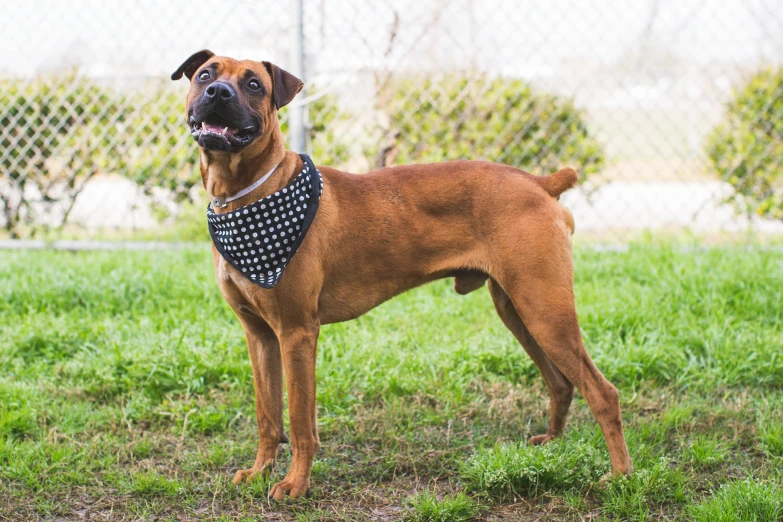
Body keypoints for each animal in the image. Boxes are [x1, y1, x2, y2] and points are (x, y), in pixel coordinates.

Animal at [173, 50, 636, 498]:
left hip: (545, 312)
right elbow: (267, 416)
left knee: (603, 393)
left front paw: (294, 485)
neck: (244, 196)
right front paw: (259, 472)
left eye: (253, 84)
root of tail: (539, 183)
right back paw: (552, 444)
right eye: (205, 74)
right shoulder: (260, 337)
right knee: (561, 383)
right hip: (519, 311)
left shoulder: (297, 333)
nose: (217, 92)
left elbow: (302, 422)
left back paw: (620, 476)